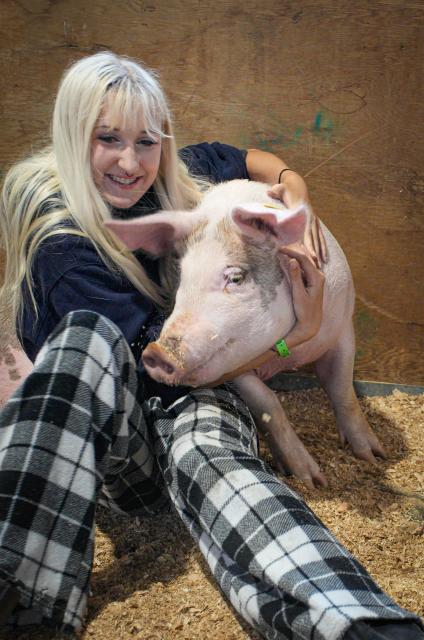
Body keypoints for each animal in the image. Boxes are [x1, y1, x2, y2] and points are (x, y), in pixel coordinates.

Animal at [106, 179, 385, 489]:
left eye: (236, 277)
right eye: (182, 277)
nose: (156, 352)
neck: (289, 352)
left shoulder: (343, 325)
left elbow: (343, 390)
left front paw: (374, 457)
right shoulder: (234, 367)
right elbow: (269, 403)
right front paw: (310, 479)